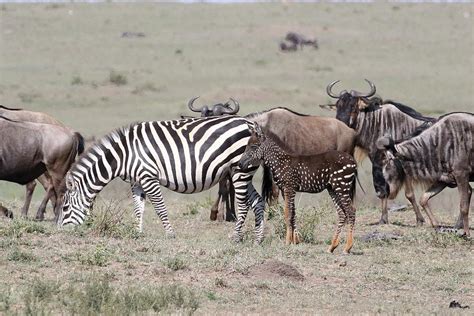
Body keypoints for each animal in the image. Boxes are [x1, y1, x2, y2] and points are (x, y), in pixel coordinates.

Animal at [58, 116, 264, 242]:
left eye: (65, 208)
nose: (61, 233)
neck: (123, 155)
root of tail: (250, 123)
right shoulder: (136, 181)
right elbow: (138, 208)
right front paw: (137, 233)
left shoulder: (148, 177)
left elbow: (159, 208)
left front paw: (170, 234)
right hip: (242, 172)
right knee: (258, 201)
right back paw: (258, 239)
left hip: (239, 170)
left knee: (243, 204)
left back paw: (236, 237)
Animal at [239, 126, 358, 254]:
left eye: (253, 146)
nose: (240, 164)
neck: (280, 161)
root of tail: (353, 162)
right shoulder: (286, 190)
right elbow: (293, 213)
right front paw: (293, 240)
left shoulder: (289, 188)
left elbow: (287, 213)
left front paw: (287, 242)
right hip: (333, 188)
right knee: (342, 213)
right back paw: (332, 246)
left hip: (342, 186)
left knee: (351, 211)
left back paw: (347, 247)